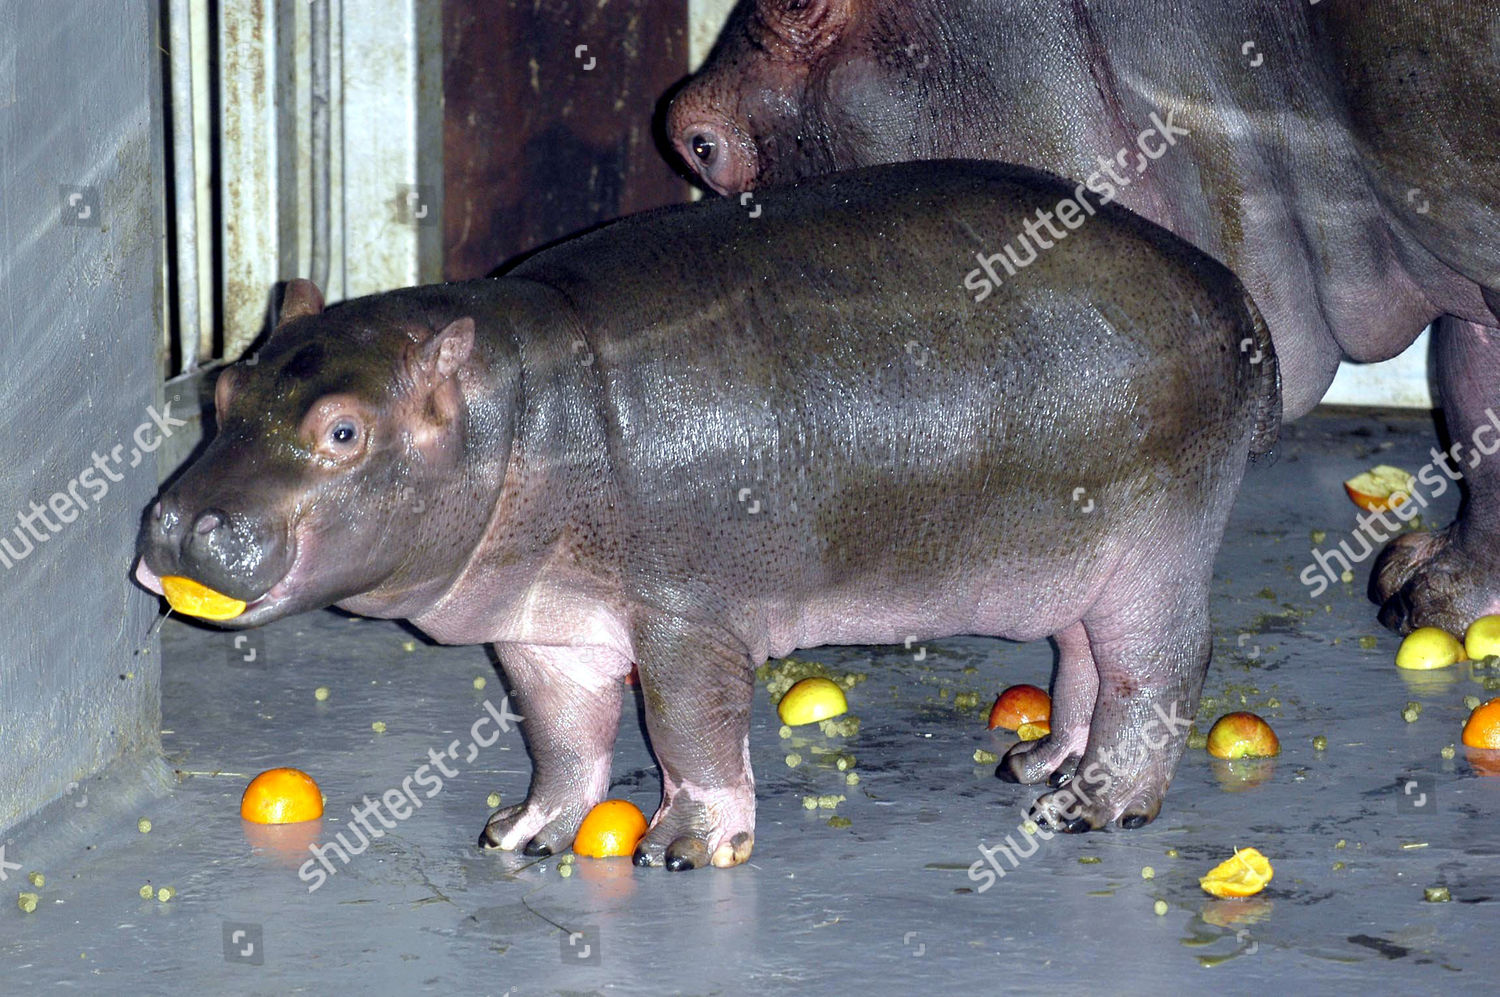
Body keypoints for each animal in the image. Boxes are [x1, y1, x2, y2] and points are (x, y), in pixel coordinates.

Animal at [135, 160, 1278, 868]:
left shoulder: (686, 616)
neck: (520, 411)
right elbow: (562, 733)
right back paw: (1040, 765)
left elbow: (690, 725)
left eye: (341, 431)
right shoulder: (546, 628)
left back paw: (1091, 806)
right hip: (1081, 558)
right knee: (1085, 658)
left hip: (1159, 545)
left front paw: (686, 847)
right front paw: (520, 830)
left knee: (1157, 668)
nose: (182, 524)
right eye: (225, 389)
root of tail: (1228, 290)